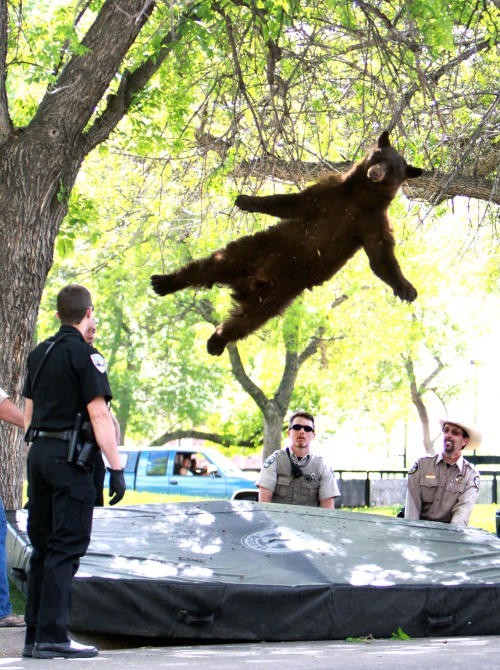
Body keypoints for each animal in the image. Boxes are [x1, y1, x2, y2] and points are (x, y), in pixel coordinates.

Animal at [151, 131, 422, 356]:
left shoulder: (372, 222)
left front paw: (406, 289)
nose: (375, 172)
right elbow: (291, 202)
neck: (361, 197)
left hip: (276, 298)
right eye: (379, 156)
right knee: (207, 266)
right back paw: (165, 282)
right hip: (251, 251)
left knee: (244, 322)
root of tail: (246, 285)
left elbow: (381, 256)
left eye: (393, 170)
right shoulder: (330, 194)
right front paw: (246, 200)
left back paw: (216, 342)